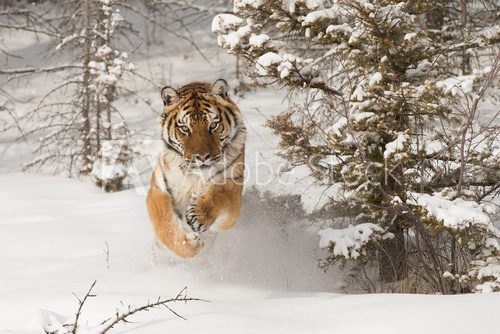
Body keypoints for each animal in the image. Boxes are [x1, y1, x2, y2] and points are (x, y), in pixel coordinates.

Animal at [145, 79, 246, 260]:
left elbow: (220, 193)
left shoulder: (233, 186)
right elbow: (164, 224)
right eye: (185, 128)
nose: (202, 156)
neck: (195, 176)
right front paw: (190, 243)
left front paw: (198, 215)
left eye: (213, 125)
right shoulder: (158, 187)